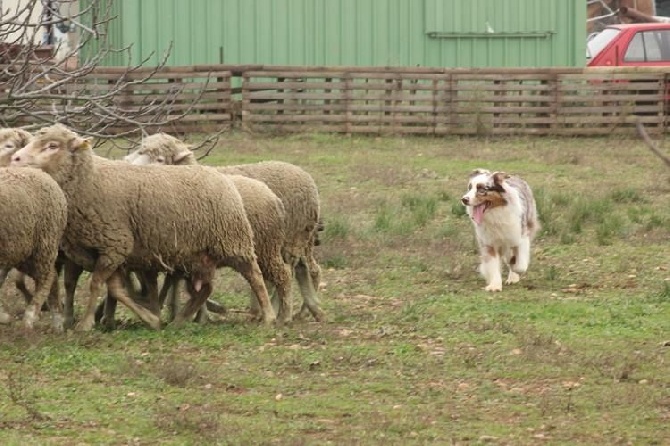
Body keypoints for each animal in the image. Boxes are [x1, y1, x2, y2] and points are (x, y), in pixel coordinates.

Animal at [0, 167, 67, 332]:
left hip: (43, 245)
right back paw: (58, 323)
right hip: (17, 251)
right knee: (53, 278)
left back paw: (30, 317)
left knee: (47, 278)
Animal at [8, 123, 276, 330]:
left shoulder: (116, 244)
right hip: (197, 255)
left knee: (255, 275)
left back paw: (269, 316)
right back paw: (180, 320)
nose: (16, 159)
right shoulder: (109, 252)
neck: (90, 181)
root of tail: (219, 176)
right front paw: (150, 319)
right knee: (206, 287)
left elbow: (97, 285)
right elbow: (115, 289)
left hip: (232, 241)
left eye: (52, 146)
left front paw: (85, 325)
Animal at [126, 132, 328, 320]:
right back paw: (308, 310)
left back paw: (285, 312)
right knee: (304, 268)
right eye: (139, 151)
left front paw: (198, 313)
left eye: (160, 159)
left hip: (290, 238)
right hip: (295, 241)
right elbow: (175, 281)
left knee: (294, 271)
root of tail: (305, 175)